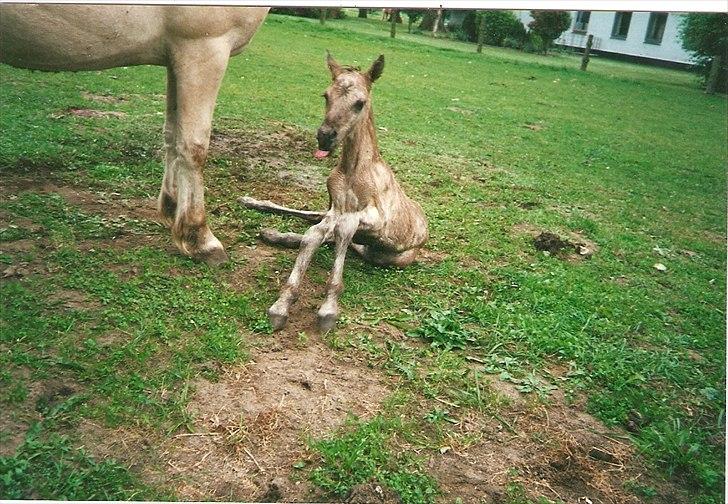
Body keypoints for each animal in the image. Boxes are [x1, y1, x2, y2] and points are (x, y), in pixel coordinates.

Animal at [0, 5, 268, 266]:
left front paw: (172, 209)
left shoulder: (176, 56)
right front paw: (199, 238)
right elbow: (193, 147)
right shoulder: (203, 48)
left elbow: (172, 136)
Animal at [242, 53, 430, 332]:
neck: (353, 171)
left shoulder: (375, 217)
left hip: (384, 255)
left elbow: (341, 230)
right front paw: (281, 305)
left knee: (343, 238)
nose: (325, 137)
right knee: (317, 221)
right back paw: (267, 224)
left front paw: (328, 309)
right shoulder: (336, 207)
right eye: (326, 95)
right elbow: (313, 234)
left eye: (360, 103)